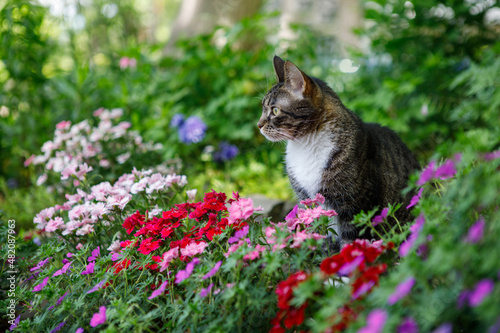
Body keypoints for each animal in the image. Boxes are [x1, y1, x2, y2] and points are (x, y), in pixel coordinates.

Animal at [260, 55, 420, 249]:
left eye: (275, 110)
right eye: (262, 108)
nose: (258, 125)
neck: (305, 145)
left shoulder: (355, 206)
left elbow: (351, 242)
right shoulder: (309, 203)